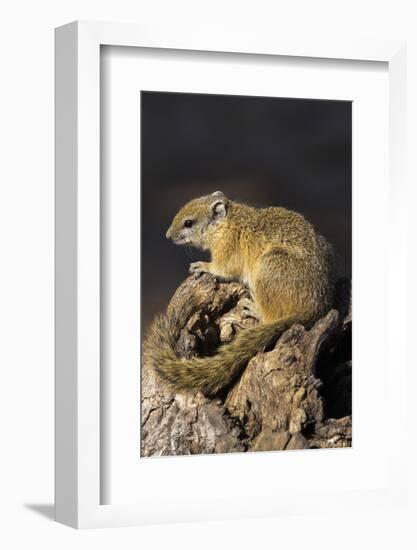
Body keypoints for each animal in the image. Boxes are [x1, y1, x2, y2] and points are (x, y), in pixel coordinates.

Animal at [144, 191, 334, 396]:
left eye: (188, 223)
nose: (168, 235)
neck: (227, 223)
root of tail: (313, 310)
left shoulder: (227, 251)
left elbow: (222, 269)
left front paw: (203, 266)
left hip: (268, 266)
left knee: (269, 316)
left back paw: (253, 308)